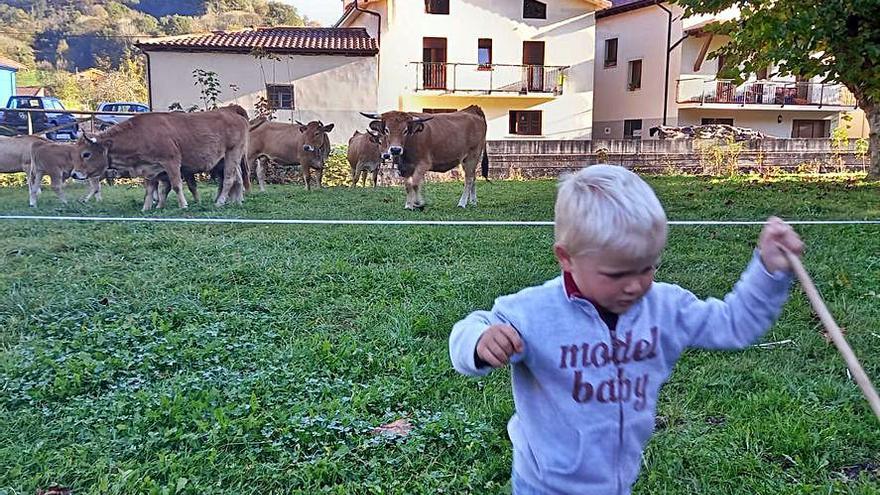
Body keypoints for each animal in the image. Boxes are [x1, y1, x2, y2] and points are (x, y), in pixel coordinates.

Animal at [71, 105, 251, 210]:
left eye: (86, 154)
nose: (74, 173)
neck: (140, 134)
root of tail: (230, 111)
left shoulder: (171, 161)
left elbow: (176, 185)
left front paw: (183, 205)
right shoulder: (149, 169)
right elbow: (150, 190)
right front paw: (147, 208)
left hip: (232, 153)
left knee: (229, 179)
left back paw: (221, 201)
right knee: (238, 178)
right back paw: (237, 200)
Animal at [360, 105, 492, 210]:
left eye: (405, 130)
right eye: (387, 130)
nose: (395, 149)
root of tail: (472, 110)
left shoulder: (423, 164)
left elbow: (415, 183)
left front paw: (418, 202)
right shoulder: (405, 167)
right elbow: (408, 186)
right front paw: (409, 205)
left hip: (472, 156)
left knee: (468, 179)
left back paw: (462, 203)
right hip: (469, 160)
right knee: (473, 177)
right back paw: (473, 201)